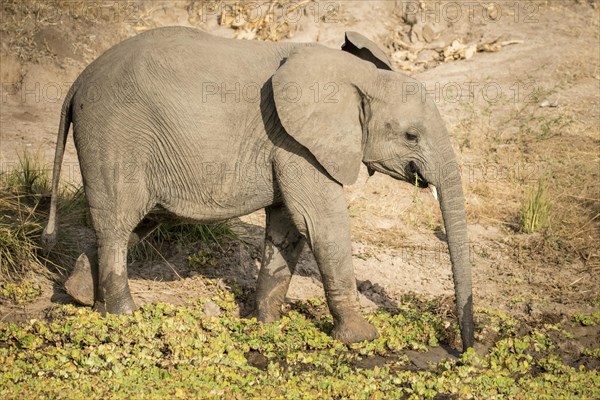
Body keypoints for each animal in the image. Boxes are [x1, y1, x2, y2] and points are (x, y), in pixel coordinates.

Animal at [42, 27, 474, 350]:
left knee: (133, 221)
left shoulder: (290, 144)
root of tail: (77, 82)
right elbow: (322, 222)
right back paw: (124, 316)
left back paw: (81, 296)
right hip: (114, 135)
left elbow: (289, 227)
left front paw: (266, 324)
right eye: (411, 136)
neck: (355, 76)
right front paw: (361, 338)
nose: (464, 349)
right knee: (118, 224)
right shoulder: (296, 141)